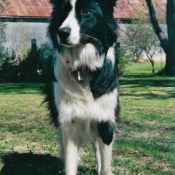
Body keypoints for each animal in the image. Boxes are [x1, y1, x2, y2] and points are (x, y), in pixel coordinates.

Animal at [44, 0, 119, 175]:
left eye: (86, 12)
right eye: (63, 11)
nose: (62, 33)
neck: (83, 67)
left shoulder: (106, 120)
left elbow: (106, 164)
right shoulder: (69, 121)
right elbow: (70, 162)